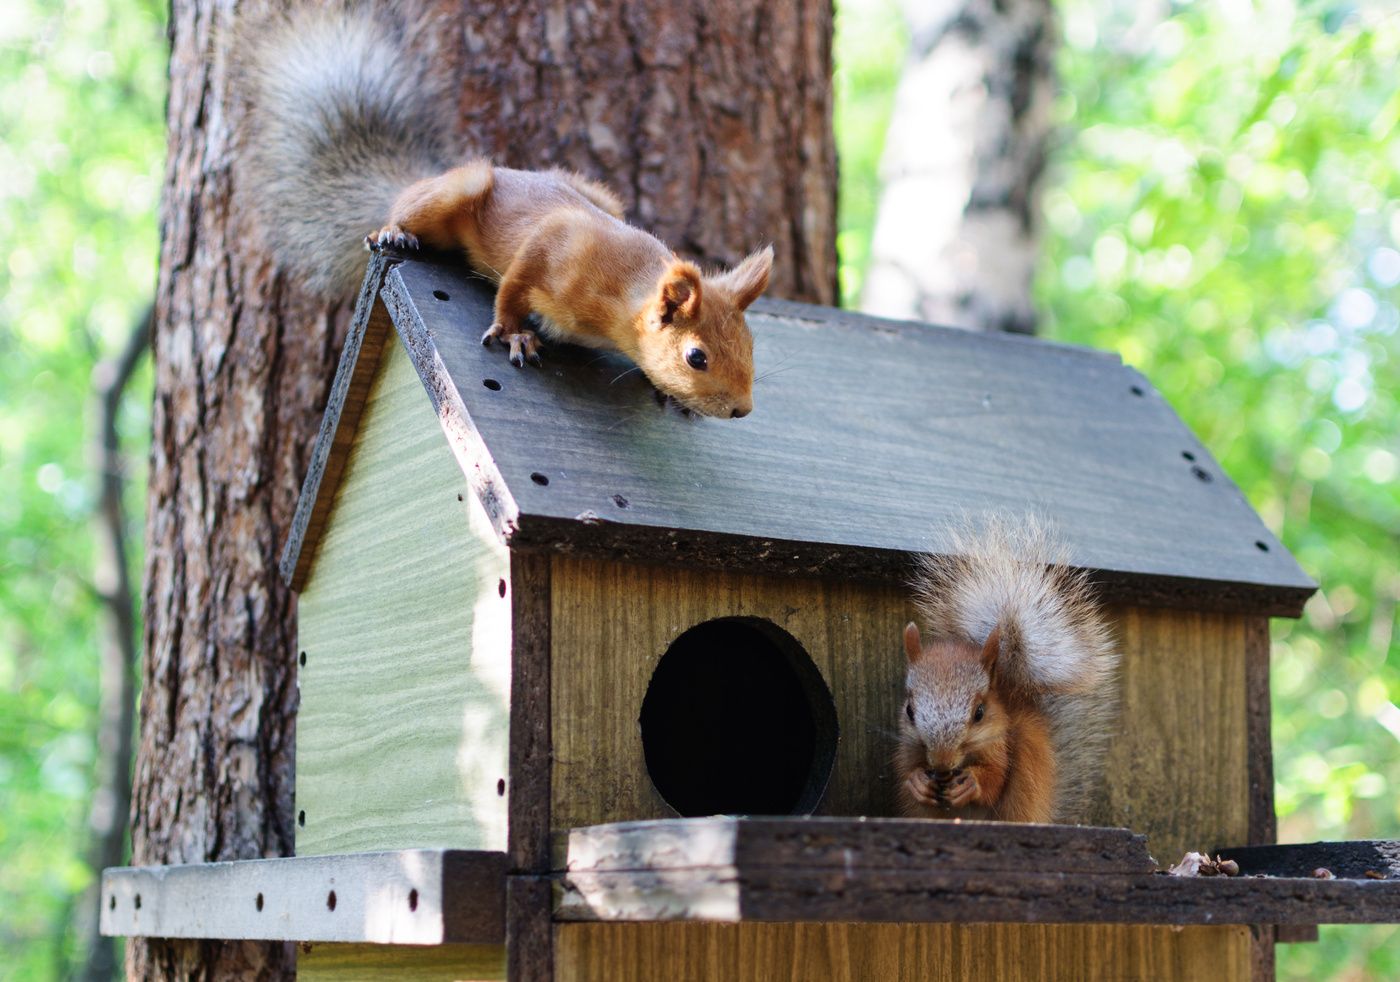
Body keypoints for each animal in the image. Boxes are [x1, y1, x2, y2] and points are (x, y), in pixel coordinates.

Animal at [233, 0, 772, 414]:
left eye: (751, 343)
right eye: (696, 357)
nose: (742, 410)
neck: (625, 291)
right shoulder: (557, 242)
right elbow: (514, 285)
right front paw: (516, 334)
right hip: (457, 190)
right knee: (412, 209)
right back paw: (395, 231)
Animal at [901, 518, 1120, 823]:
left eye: (980, 713)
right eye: (909, 710)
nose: (942, 764)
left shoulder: (1000, 746)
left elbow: (995, 781)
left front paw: (972, 783)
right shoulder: (907, 748)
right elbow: (907, 775)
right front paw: (918, 782)